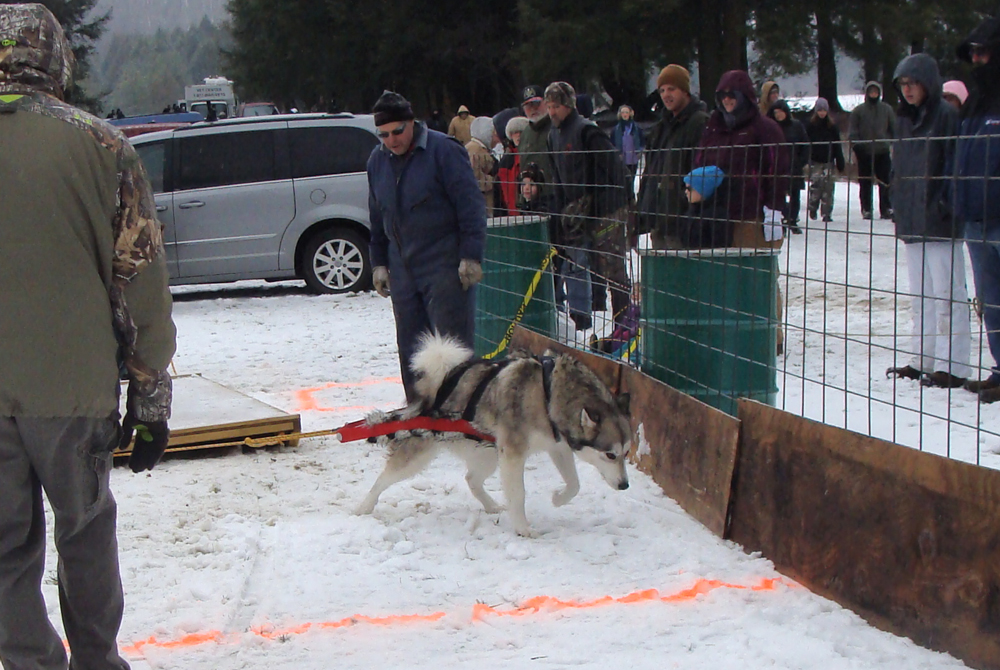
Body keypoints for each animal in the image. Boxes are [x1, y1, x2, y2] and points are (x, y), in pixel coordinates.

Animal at [356, 334, 628, 540]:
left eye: (626, 454)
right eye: (610, 455)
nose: (625, 485)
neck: (549, 392)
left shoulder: (557, 446)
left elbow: (574, 484)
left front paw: (559, 499)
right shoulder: (513, 454)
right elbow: (518, 494)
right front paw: (523, 528)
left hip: (488, 453)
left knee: (471, 479)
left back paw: (490, 505)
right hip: (420, 455)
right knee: (383, 479)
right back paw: (363, 507)